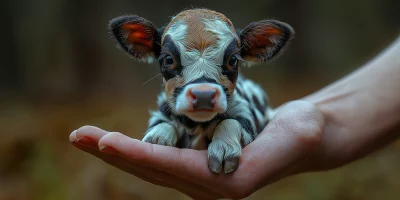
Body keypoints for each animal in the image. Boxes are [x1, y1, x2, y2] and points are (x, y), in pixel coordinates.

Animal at [109, 8, 294, 173]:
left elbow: (229, 122)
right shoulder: (161, 112)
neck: (196, 125)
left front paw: (224, 148)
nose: (203, 95)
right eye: (168, 59)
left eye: (233, 60)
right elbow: (162, 125)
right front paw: (157, 139)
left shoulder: (247, 117)